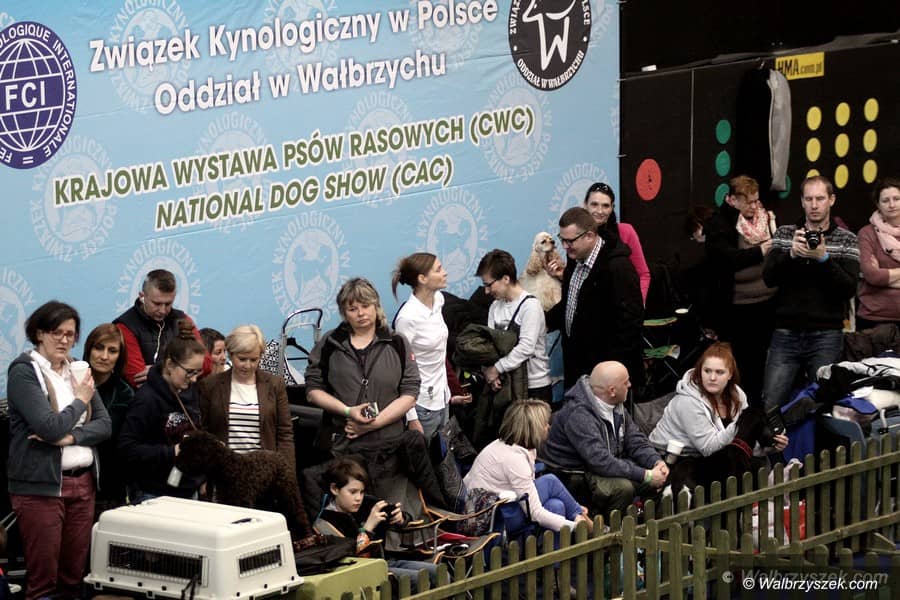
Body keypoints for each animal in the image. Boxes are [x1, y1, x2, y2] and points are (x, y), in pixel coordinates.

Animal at [175, 430, 312, 540]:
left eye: (191, 450)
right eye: (182, 448)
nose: (177, 463)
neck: (227, 467)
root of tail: (279, 455)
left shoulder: (242, 502)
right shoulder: (227, 502)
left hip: (288, 492)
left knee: (298, 511)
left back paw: (305, 534)